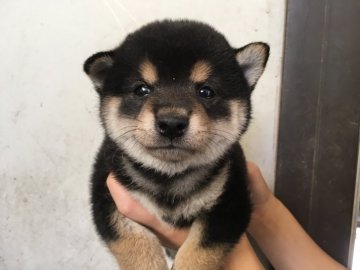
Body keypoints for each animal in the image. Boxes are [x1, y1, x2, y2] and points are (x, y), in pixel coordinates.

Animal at [84, 19, 268, 270]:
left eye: (206, 91)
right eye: (141, 89)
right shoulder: (106, 195)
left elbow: (198, 252)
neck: (169, 178)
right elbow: (135, 245)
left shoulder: (231, 201)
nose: (171, 123)